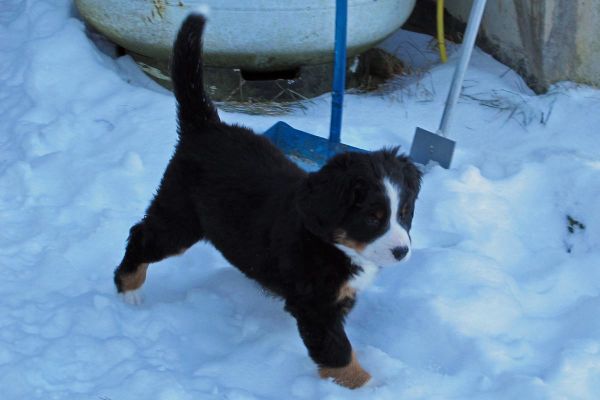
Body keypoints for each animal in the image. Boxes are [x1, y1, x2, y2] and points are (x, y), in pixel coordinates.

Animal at [113, 13, 422, 390]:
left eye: (405, 213)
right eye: (373, 217)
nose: (402, 252)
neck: (332, 244)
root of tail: (206, 127)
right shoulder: (315, 306)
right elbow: (339, 354)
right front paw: (370, 388)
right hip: (181, 217)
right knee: (142, 235)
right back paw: (129, 288)